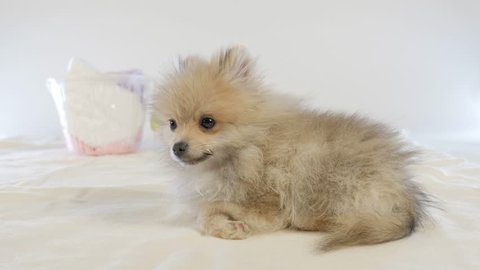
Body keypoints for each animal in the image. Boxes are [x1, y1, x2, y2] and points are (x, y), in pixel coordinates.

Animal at [152, 46, 430, 251]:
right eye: (172, 124)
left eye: (207, 122)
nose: (178, 147)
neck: (246, 150)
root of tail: (404, 194)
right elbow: (205, 210)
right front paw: (225, 226)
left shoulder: (268, 207)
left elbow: (208, 209)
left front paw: (229, 226)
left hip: (316, 169)